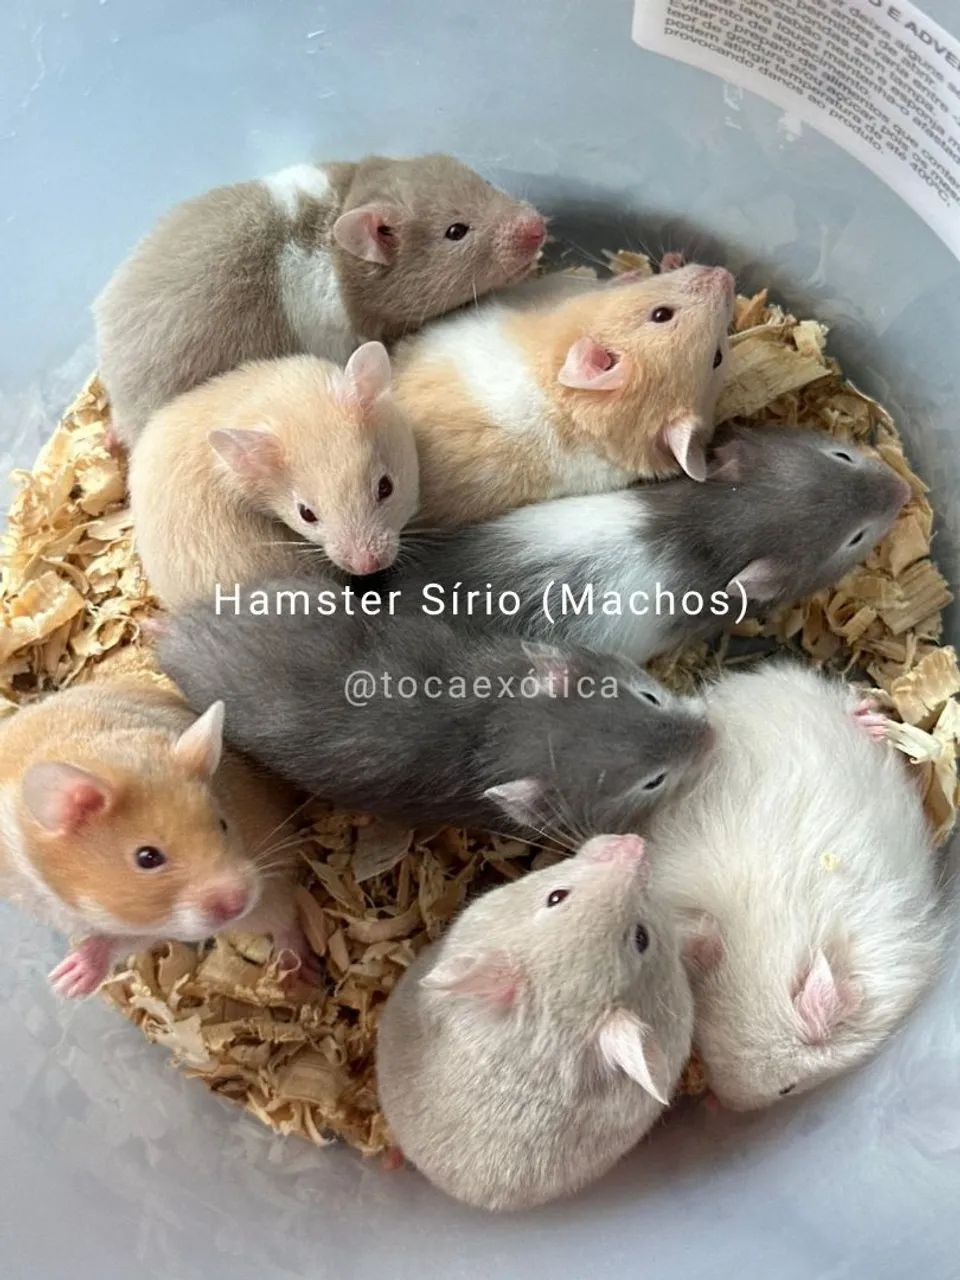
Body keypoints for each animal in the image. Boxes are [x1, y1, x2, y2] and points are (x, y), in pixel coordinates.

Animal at [0, 679, 308, 997]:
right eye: (147, 857)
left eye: (222, 824)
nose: (239, 901)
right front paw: (65, 982)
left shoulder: (160, 924)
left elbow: (119, 941)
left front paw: (65, 982)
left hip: (268, 888)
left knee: (285, 918)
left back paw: (293, 973)